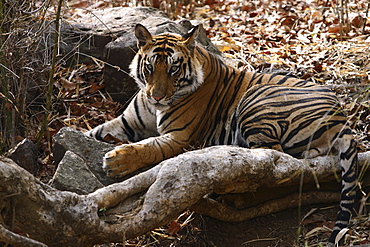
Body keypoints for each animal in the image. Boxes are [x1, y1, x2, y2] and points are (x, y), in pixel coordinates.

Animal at [85, 24, 356, 244]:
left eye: (173, 69)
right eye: (150, 67)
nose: (157, 96)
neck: (156, 108)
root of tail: (340, 113)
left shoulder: (179, 137)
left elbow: (150, 148)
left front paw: (117, 161)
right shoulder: (125, 122)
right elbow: (92, 133)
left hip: (255, 101)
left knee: (277, 167)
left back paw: (235, 192)